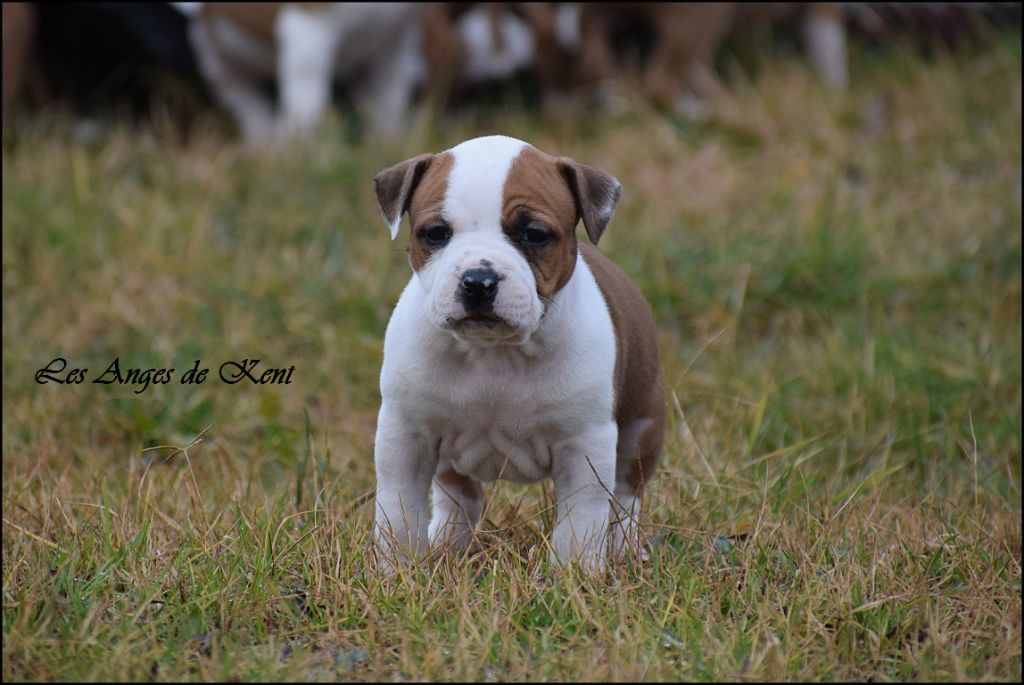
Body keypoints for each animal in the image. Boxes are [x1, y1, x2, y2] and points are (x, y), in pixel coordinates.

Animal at [372, 135, 667, 573]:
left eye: (534, 234)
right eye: (436, 233)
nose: (478, 281)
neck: (494, 353)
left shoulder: (584, 445)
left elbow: (581, 520)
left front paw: (575, 574)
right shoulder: (406, 435)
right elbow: (398, 508)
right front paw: (396, 570)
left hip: (641, 429)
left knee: (627, 497)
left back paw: (624, 548)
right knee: (457, 495)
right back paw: (448, 543)